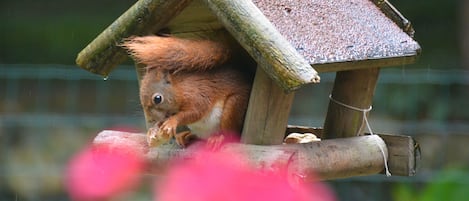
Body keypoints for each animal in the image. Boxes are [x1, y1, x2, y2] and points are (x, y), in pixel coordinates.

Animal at [120, 35, 252, 148]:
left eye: (158, 99)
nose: (150, 120)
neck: (179, 89)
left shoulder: (197, 95)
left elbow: (195, 112)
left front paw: (172, 122)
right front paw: (154, 129)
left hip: (233, 108)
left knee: (230, 132)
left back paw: (219, 138)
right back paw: (186, 135)